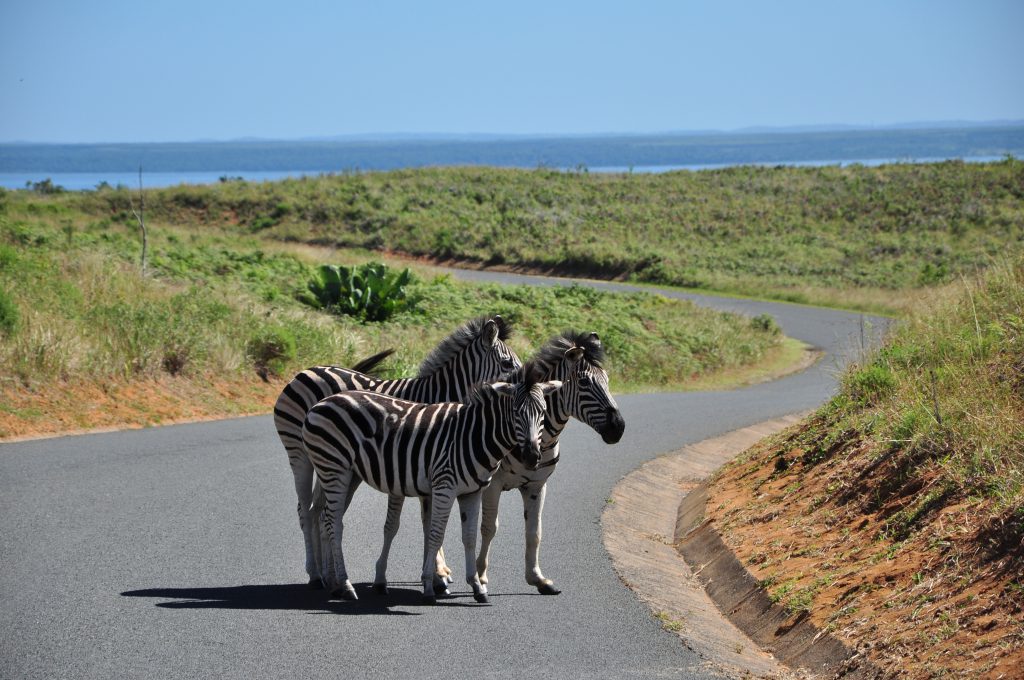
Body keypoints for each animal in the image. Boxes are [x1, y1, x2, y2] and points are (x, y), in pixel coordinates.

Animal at [272, 315, 520, 585]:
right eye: (507, 364)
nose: (527, 385)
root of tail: (306, 370)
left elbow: (430, 523)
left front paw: (436, 572)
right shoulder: (422, 463)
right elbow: (428, 523)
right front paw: (438, 573)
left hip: (331, 463)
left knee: (319, 510)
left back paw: (325, 573)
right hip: (299, 453)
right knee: (305, 511)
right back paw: (315, 573)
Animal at [299, 364, 565, 602]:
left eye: (543, 412)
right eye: (516, 412)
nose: (531, 457)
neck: (474, 435)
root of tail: (320, 403)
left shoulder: (472, 492)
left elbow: (469, 537)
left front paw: (477, 587)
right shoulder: (445, 486)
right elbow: (436, 535)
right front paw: (430, 585)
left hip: (346, 473)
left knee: (326, 519)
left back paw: (334, 584)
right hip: (334, 468)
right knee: (334, 523)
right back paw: (345, 586)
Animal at [471, 331, 622, 593]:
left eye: (607, 380)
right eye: (584, 383)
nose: (619, 427)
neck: (540, 438)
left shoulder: (536, 485)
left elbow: (534, 532)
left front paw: (537, 578)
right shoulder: (493, 485)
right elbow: (489, 528)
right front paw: (481, 576)